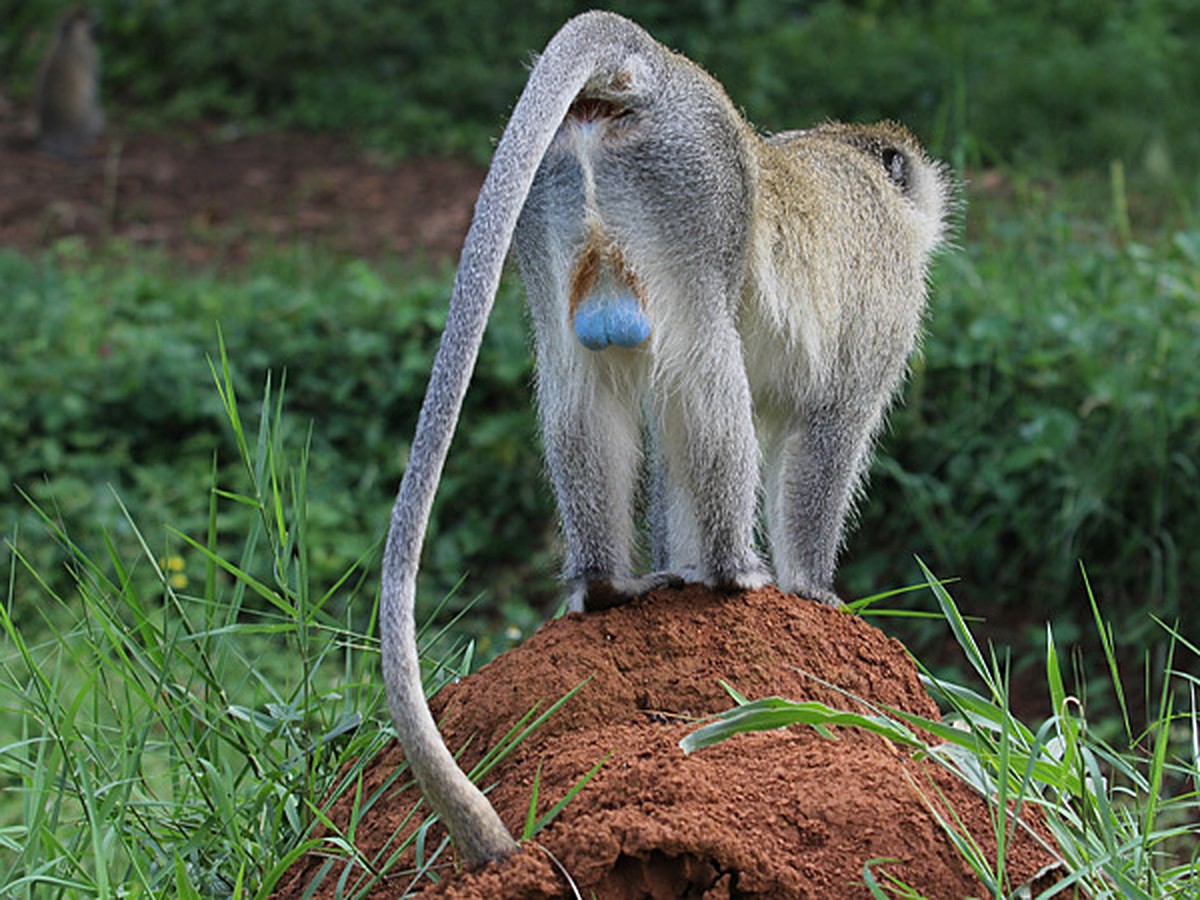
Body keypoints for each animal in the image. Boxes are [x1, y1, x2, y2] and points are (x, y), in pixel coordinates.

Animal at [34, 7, 103, 159]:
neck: (67, 40)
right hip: (85, 125)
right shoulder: (88, 55)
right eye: (91, 25)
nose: (101, 32)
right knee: (97, 115)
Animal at [379, 10, 950, 868]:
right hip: (692, 187)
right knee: (706, 358)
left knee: (580, 383)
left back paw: (610, 585)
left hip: (558, 203)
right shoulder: (878, 313)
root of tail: (649, 66)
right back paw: (733, 575)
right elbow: (826, 435)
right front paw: (813, 591)